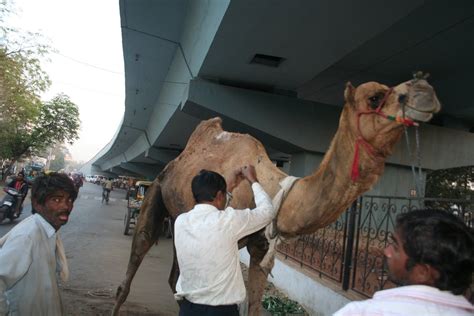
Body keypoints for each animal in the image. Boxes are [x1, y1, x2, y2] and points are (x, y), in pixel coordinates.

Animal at [112, 77, 440, 316]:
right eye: (375, 97)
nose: (425, 90)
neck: (274, 187)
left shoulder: (259, 247)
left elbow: (254, 306)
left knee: (176, 278)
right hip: (156, 191)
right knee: (136, 255)